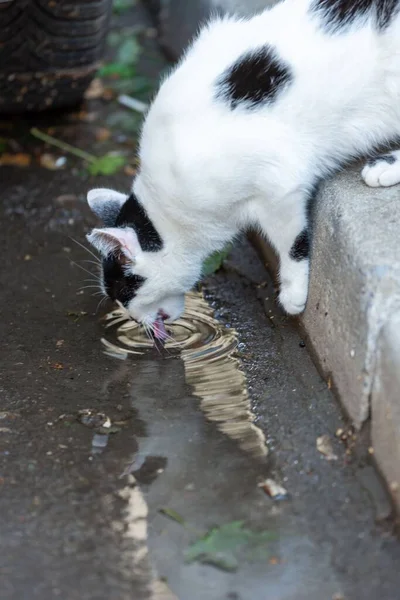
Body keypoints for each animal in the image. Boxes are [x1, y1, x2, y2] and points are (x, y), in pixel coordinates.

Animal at [86, 0, 400, 332]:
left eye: (123, 291)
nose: (132, 319)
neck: (172, 208)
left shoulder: (279, 185)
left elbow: (292, 241)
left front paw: (293, 291)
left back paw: (386, 167)